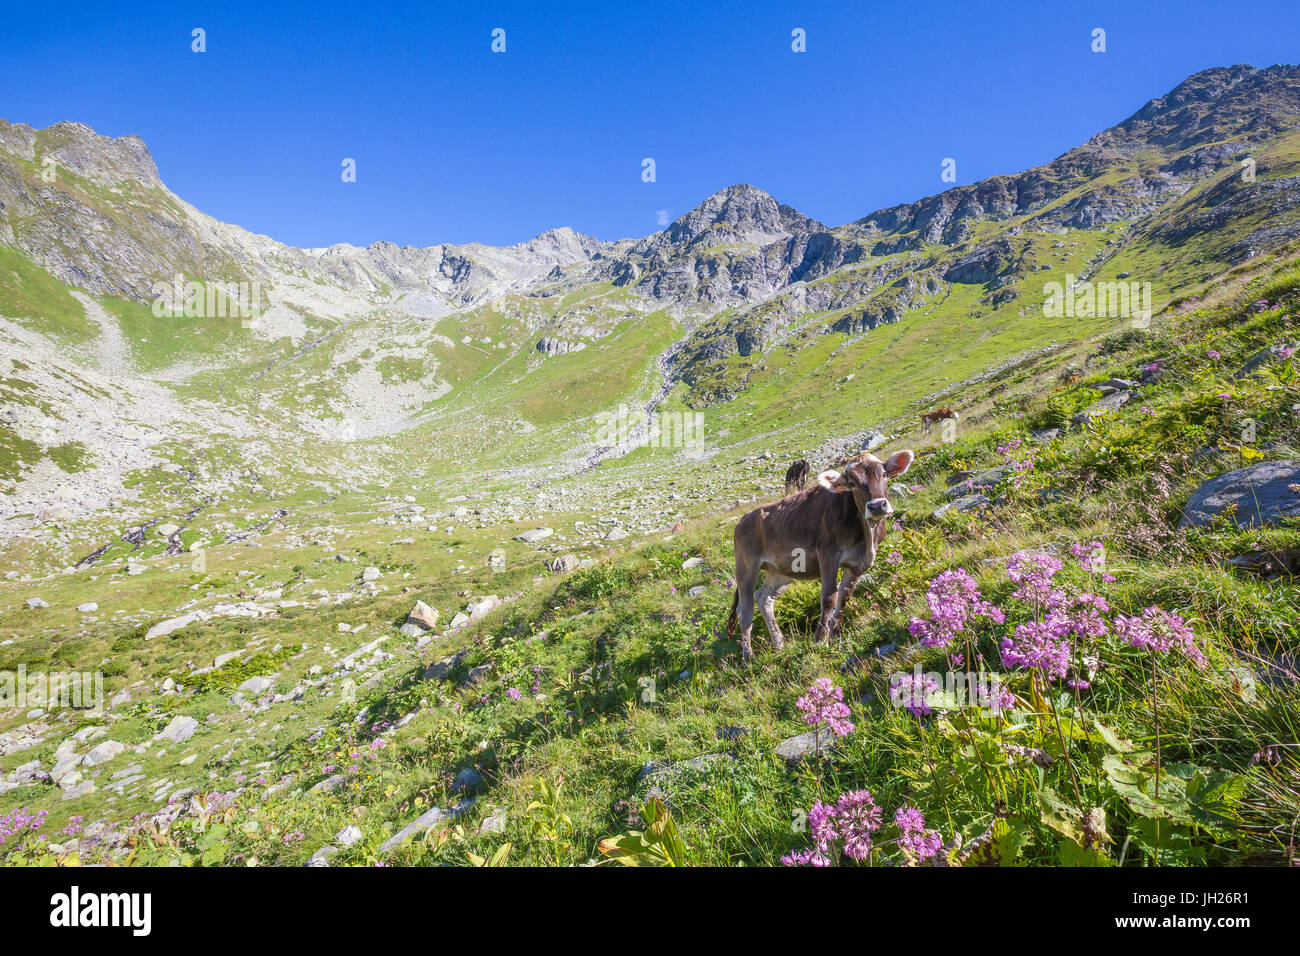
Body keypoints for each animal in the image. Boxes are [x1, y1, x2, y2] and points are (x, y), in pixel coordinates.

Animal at [733, 447, 915, 658]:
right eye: (852, 483)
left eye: (884, 474)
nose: (877, 506)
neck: (866, 536)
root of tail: (744, 519)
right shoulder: (828, 554)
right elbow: (829, 598)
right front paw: (820, 640)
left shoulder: (858, 564)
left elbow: (844, 598)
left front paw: (835, 636)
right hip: (746, 567)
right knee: (745, 611)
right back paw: (748, 657)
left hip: (781, 570)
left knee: (764, 598)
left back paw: (779, 643)